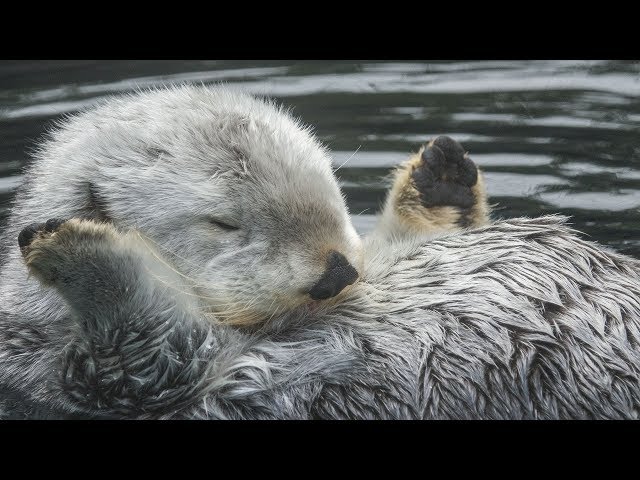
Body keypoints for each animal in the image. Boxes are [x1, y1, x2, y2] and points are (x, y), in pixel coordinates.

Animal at [1, 87, 640, 420]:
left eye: (331, 189)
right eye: (223, 223)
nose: (335, 272)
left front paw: (439, 185)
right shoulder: (99, 382)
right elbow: (143, 349)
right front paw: (75, 246)